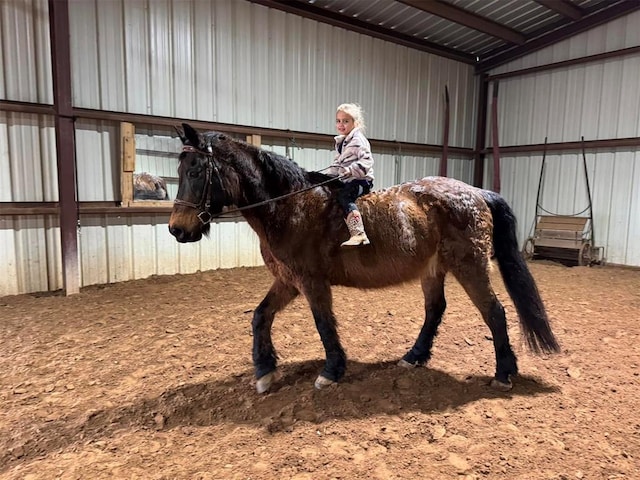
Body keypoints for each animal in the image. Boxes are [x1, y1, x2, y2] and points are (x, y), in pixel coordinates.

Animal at [168, 123, 556, 394]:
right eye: (180, 170)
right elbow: (260, 316)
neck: (291, 205)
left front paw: (331, 371)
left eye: (196, 170)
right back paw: (414, 357)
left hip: (470, 266)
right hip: (433, 269)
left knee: (494, 312)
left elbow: (324, 324)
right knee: (435, 310)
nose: (177, 229)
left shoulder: (311, 281)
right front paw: (265, 372)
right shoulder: (288, 281)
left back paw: (503, 374)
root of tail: (476, 192)